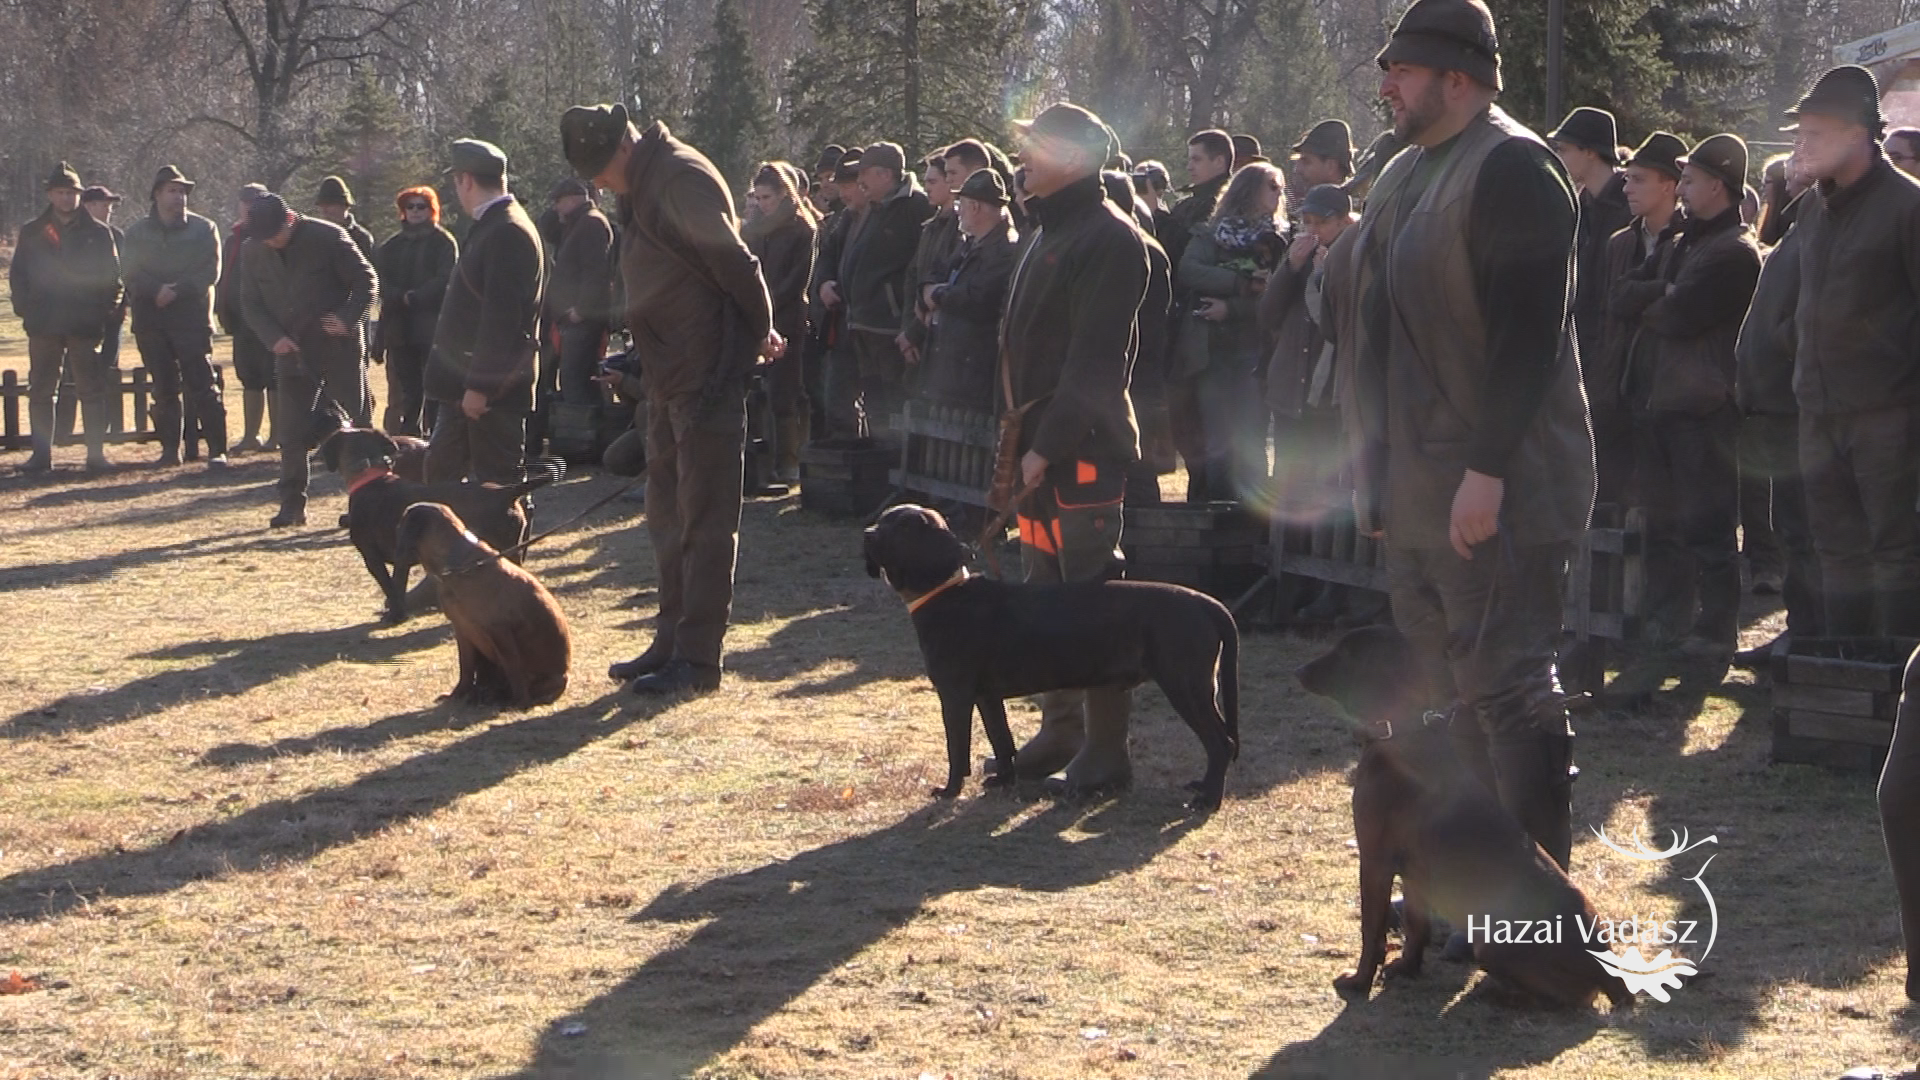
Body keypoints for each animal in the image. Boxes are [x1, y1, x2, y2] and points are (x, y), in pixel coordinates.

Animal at [389, 503, 568, 707]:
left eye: (399, 528)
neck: (458, 566)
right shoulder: (462, 630)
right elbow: (465, 668)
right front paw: (457, 694)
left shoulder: (500, 631)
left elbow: (513, 668)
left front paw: (521, 701)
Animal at [860, 499, 1236, 803]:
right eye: (883, 519)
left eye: (903, 527)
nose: (867, 534)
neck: (947, 593)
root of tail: (1208, 603)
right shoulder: (987, 696)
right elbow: (1002, 741)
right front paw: (1003, 781)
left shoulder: (955, 694)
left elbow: (957, 749)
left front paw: (949, 791)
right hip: (1200, 687)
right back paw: (1204, 789)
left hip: (1185, 686)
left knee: (1221, 743)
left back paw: (1207, 800)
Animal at [1290, 626, 1635, 1006]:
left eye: (1346, 652)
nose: (1299, 671)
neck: (1401, 734)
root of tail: (1608, 967)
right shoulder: (1414, 874)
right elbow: (1416, 926)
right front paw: (1407, 968)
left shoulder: (1375, 860)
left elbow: (1371, 931)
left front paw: (1359, 981)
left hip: (1493, 945)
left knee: (1566, 999)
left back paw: (1501, 994)